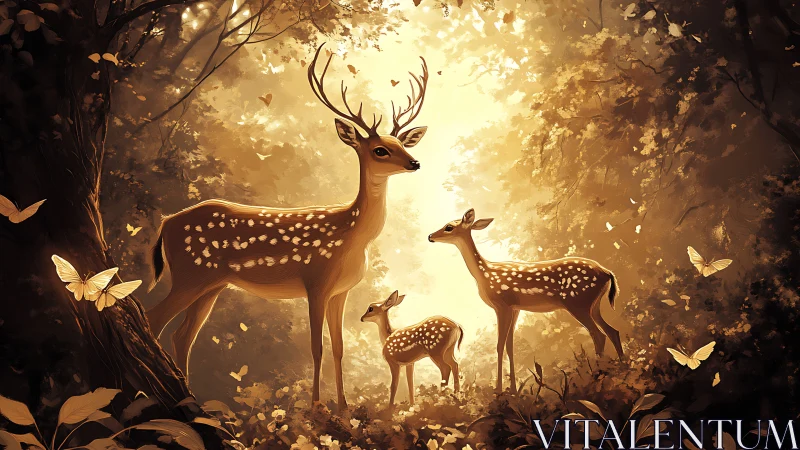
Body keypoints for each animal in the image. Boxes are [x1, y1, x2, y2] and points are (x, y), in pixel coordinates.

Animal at [145, 44, 429, 410]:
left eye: (403, 144)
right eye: (380, 150)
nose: (415, 162)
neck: (353, 236)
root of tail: (165, 223)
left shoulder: (341, 291)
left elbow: (339, 348)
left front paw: (343, 406)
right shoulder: (315, 282)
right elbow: (316, 347)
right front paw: (316, 406)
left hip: (211, 284)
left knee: (183, 335)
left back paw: (193, 401)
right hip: (189, 274)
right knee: (154, 319)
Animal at [428, 209, 623, 393]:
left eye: (449, 227)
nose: (430, 236)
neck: (484, 274)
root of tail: (608, 273)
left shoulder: (502, 305)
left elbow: (499, 346)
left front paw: (498, 390)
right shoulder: (515, 308)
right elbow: (510, 347)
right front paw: (514, 390)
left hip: (577, 302)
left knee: (599, 335)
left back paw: (597, 376)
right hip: (594, 305)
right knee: (612, 331)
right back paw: (621, 369)